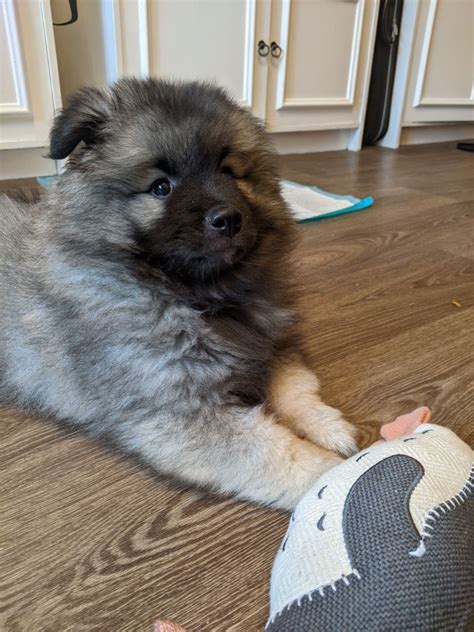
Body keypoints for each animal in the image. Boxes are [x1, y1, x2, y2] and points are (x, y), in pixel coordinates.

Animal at [0, 79, 358, 512]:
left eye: (229, 171)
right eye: (160, 187)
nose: (228, 219)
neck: (200, 297)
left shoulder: (271, 348)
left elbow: (298, 392)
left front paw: (333, 428)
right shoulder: (180, 411)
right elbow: (280, 453)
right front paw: (340, 476)